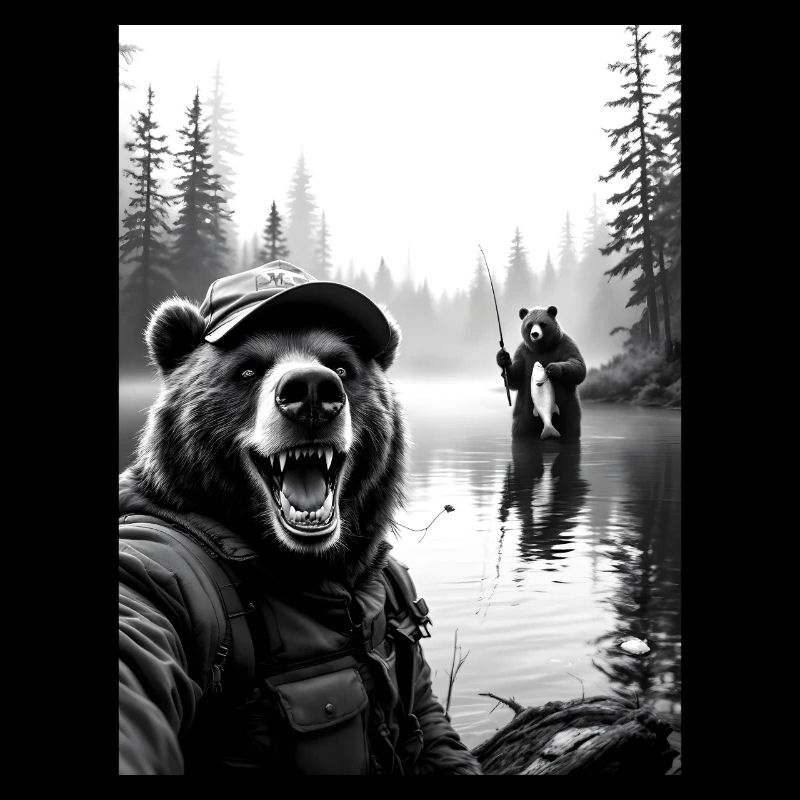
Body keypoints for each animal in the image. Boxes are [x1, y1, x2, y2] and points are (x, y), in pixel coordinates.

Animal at [496, 305, 586, 439]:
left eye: (542, 324)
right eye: (529, 324)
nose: (535, 334)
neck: (541, 348)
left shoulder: (565, 344)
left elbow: (578, 366)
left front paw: (554, 368)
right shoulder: (523, 352)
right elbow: (515, 377)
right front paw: (503, 358)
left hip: (570, 412)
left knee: (571, 429)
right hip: (523, 416)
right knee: (520, 429)